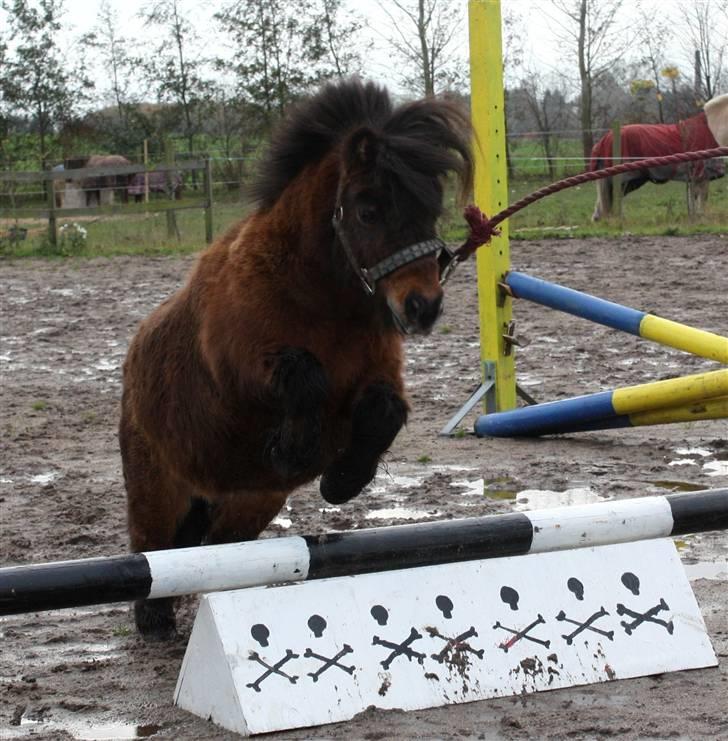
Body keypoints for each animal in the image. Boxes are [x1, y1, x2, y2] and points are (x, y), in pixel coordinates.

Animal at [119, 79, 472, 636]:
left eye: (430, 207)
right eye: (368, 209)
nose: (423, 307)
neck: (319, 300)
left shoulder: (379, 375)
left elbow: (385, 409)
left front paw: (343, 478)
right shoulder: (241, 369)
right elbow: (305, 377)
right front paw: (294, 450)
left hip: (251, 503)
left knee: (213, 550)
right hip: (159, 490)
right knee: (154, 549)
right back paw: (154, 618)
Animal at [592, 94, 728, 220]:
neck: (712, 129)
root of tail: (606, 138)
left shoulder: (694, 179)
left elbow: (693, 200)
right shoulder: (702, 176)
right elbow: (702, 200)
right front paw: (701, 218)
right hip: (624, 180)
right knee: (614, 200)